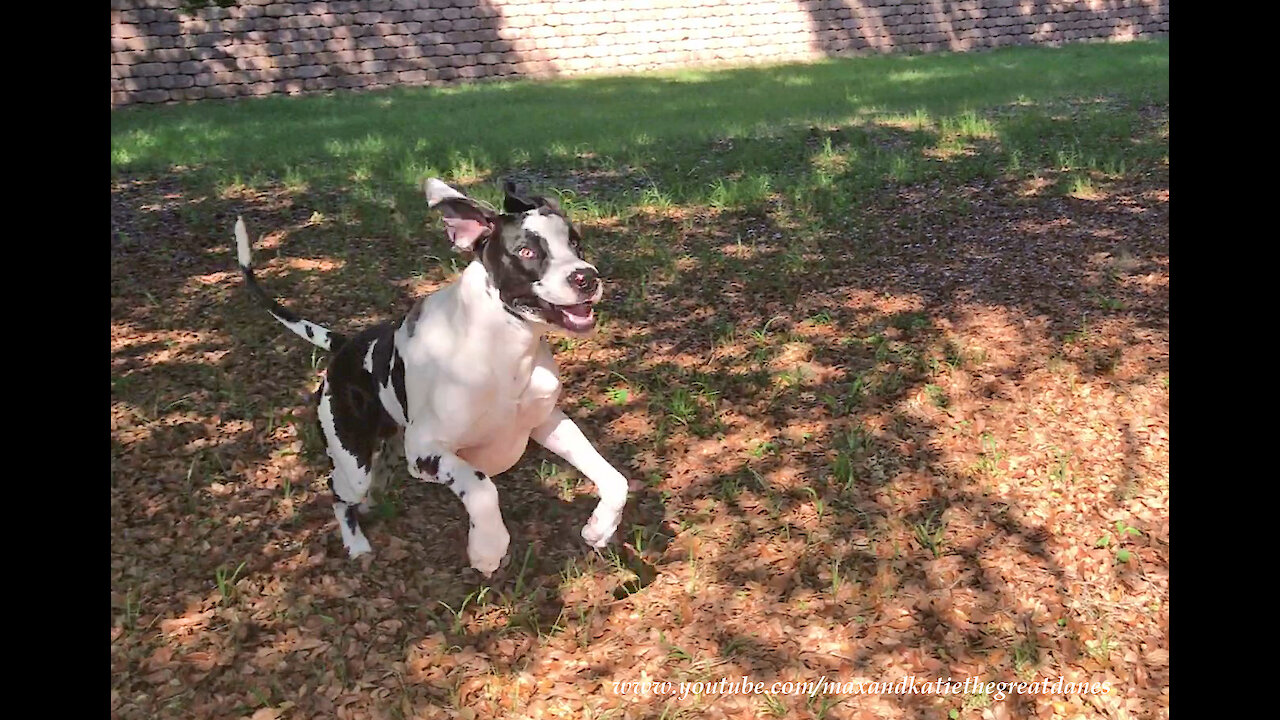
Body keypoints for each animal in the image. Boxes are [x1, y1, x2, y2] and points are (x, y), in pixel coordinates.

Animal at [234, 178, 629, 571]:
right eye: (527, 252)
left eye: (575, 243)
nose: (586, 277)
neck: (501, 348)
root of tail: (345, 344)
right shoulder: (427, 450)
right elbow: (482, 487)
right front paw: (488, 546)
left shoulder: (547, 422)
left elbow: (615, 479)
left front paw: (600, 526)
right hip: (352, 461)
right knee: (337, 491)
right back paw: (356, 542)